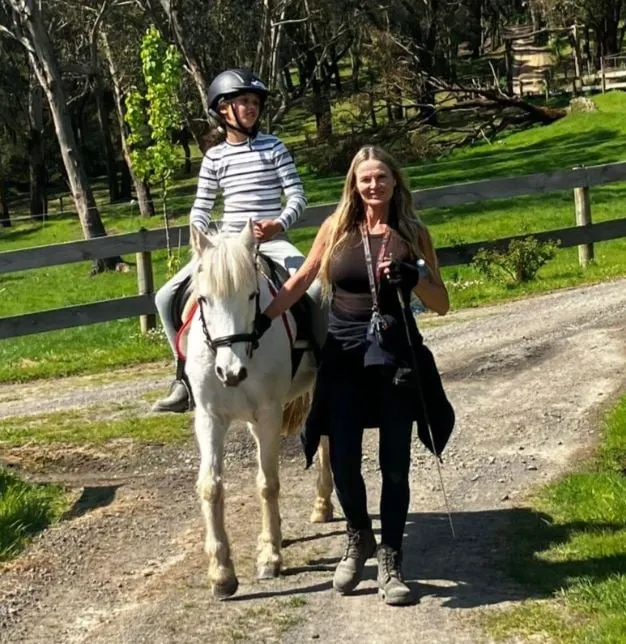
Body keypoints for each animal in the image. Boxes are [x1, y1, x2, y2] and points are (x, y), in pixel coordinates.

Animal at [184, 221, 332, 600]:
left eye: (252, 296)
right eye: (204, 299)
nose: (231, 372)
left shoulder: (268, 414)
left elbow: (267, 483)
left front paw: (269, 557)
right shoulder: (210, 418)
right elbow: (210, 487)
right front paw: (221, 574)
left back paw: (322, 505)